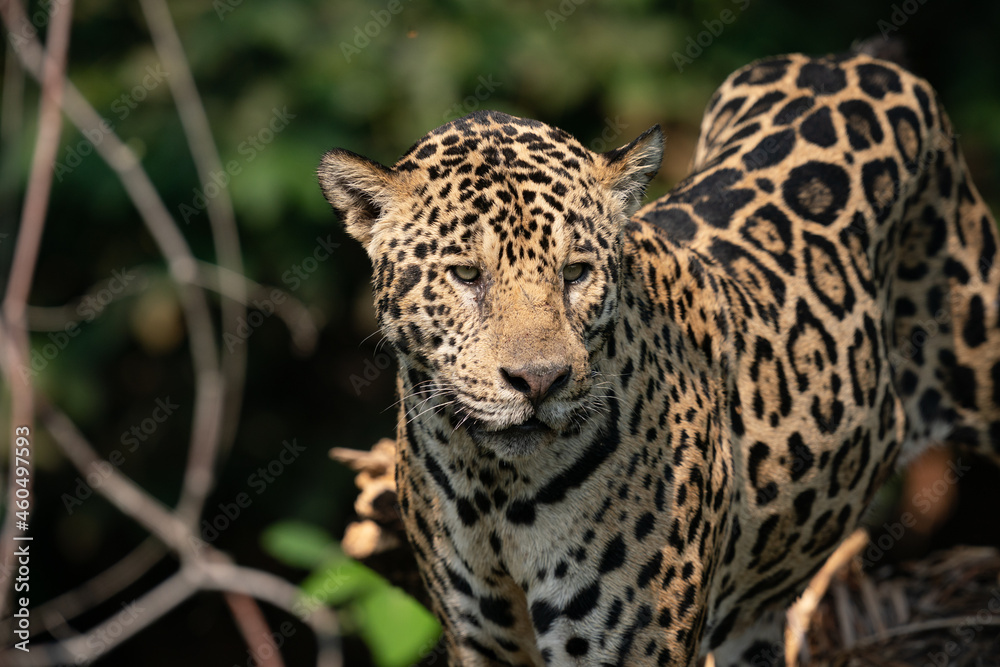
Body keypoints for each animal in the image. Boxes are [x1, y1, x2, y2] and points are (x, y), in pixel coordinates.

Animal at [318, 50, 1000, 666]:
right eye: (465, 274)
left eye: (575, 273)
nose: (539, 381)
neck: (495, 490)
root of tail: (855, 60)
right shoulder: (480, 640)